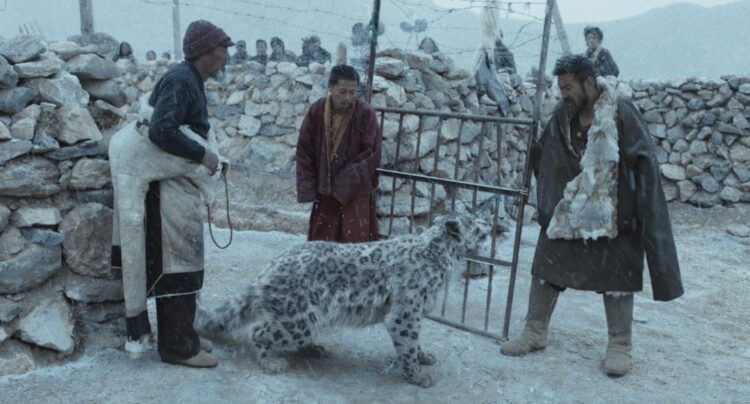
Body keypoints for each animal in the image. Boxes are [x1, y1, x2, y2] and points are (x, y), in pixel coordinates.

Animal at [198, 212, 491, 387]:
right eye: (473, 221)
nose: (488, 223)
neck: (444, 258)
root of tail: (267, 269)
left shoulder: (415, 313)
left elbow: (415, 341)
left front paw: (424, 356)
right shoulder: (406, 311)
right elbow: (407, 342)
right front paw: (418, 375)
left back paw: (314, 349)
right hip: (300, 319)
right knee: (259, 331)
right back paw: (272, 361)